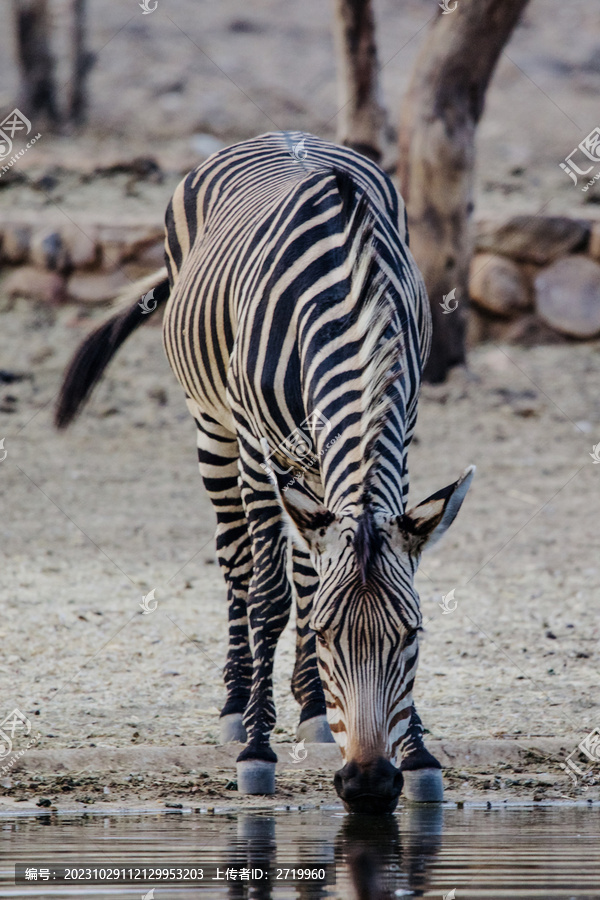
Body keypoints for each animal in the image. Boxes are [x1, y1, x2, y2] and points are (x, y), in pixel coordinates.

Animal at [58, 134, 476, 816]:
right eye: (331, 636)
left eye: (412, 635)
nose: (368, 786)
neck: (350, 299)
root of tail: (276, 137)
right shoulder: (259, 447)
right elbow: (270, 597)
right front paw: (257, 750)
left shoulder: (403, 433)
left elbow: (322, 584)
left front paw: (417, 753)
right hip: (214, 429)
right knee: (239, 564)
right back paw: (236, 708)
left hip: (309, 470)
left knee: (307, 568)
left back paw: (311, 711)